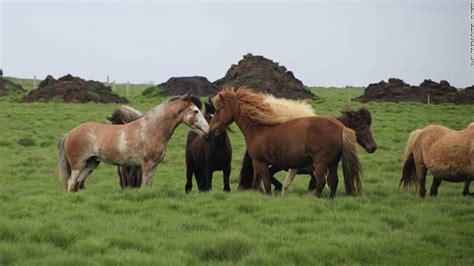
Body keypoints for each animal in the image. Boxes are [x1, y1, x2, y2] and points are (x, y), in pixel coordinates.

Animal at [57, 94, 209, 192]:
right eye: (196, 111)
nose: (207, 130)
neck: (151, 129)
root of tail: (68, 134)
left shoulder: (154, 166)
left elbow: (148, 186)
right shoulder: (146, 165)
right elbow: (144, 185)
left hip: (91, 164)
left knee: (76, 184)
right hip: (78, 165)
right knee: (71, 183)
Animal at [208, 87, 362, 197]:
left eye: (218, 110)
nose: (211, 130)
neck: (259, 129)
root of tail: (341, 127)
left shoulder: (260, 162)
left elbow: (266, 183)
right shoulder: (260, 164)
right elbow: (258, 182)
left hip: (321, 162)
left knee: (321, 181)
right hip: (333, 163)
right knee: (333, 181)